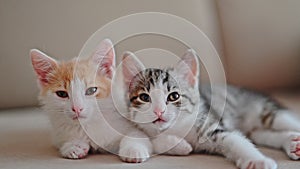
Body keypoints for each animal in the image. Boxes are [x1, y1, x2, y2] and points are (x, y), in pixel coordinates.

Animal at [120, 50, 300, 169]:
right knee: (263, 134)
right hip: (256, 128)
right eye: (144, 97)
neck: (177, 128)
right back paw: (292, 143)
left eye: (173, 96)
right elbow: (152, 139)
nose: (159, 111)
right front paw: (177, 144)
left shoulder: (210, 125)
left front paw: (257, 161)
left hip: (267, 113)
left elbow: (236, 141)